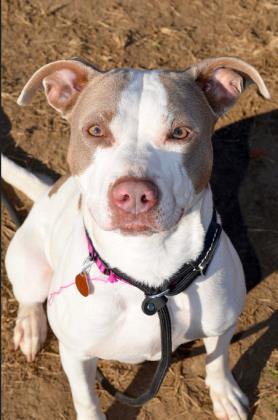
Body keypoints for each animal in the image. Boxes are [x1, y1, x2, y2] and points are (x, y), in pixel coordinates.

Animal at [2, 56, 270, 420]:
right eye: (95, 130)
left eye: (180, 133)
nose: (132, 194)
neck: (149, 269)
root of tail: (47, 192)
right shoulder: (76, 354)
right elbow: (86, 398)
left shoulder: (222, 325)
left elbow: (218, 361)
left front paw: (225, 395)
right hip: (30, 266)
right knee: (29, 298)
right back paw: (30, 328)